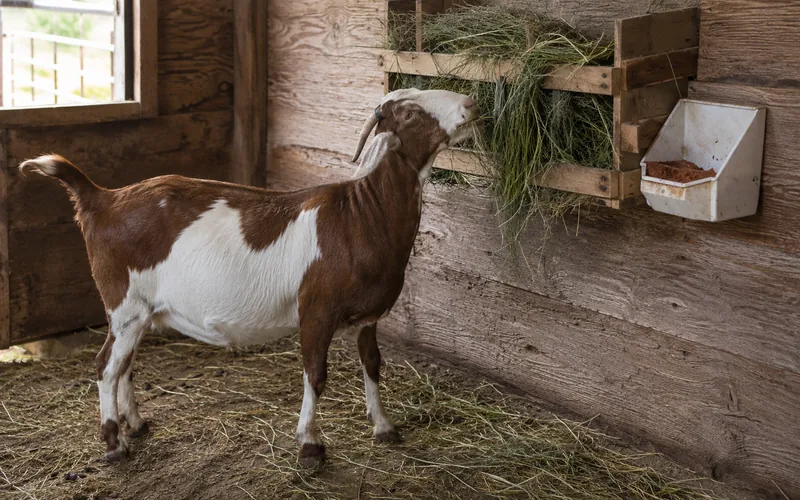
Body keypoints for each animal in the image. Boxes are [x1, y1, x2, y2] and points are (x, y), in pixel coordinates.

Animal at [18, 88, 479, 466]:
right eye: (411, 112)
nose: (471, 103)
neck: (361, 214)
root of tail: (103, 198)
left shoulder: (368, 316)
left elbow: (373, 364)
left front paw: (383, 426)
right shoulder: (316, 309)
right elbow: (316, 373)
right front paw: (310, 445)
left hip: (141, 310)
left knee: (124, 363)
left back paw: (136, 424)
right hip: (124, 302)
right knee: (105, 366)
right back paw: (114, 444)